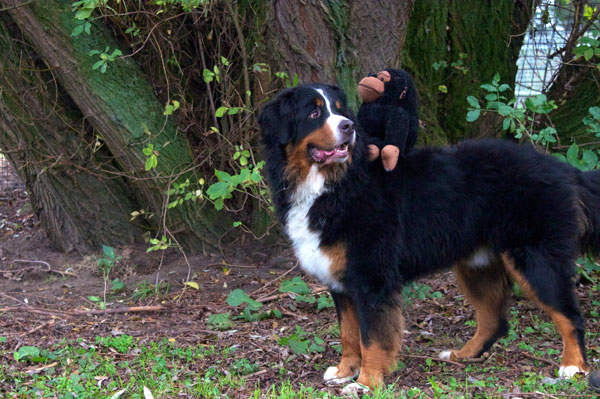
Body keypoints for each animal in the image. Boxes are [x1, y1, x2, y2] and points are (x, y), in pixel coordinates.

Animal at [256, 83, 596, 394]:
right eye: (314, 113)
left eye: (341, 111)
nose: (348, 127)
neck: (333, 185)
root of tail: (561, 168)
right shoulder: (341, 281)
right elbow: (349, 334)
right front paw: (344, 372)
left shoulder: (371, 277)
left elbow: (371, 338)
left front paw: (366, 382)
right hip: (478, 264)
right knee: (494, 321)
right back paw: (462, 354)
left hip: (536, 259)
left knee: (570, 315)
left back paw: (573, 367)